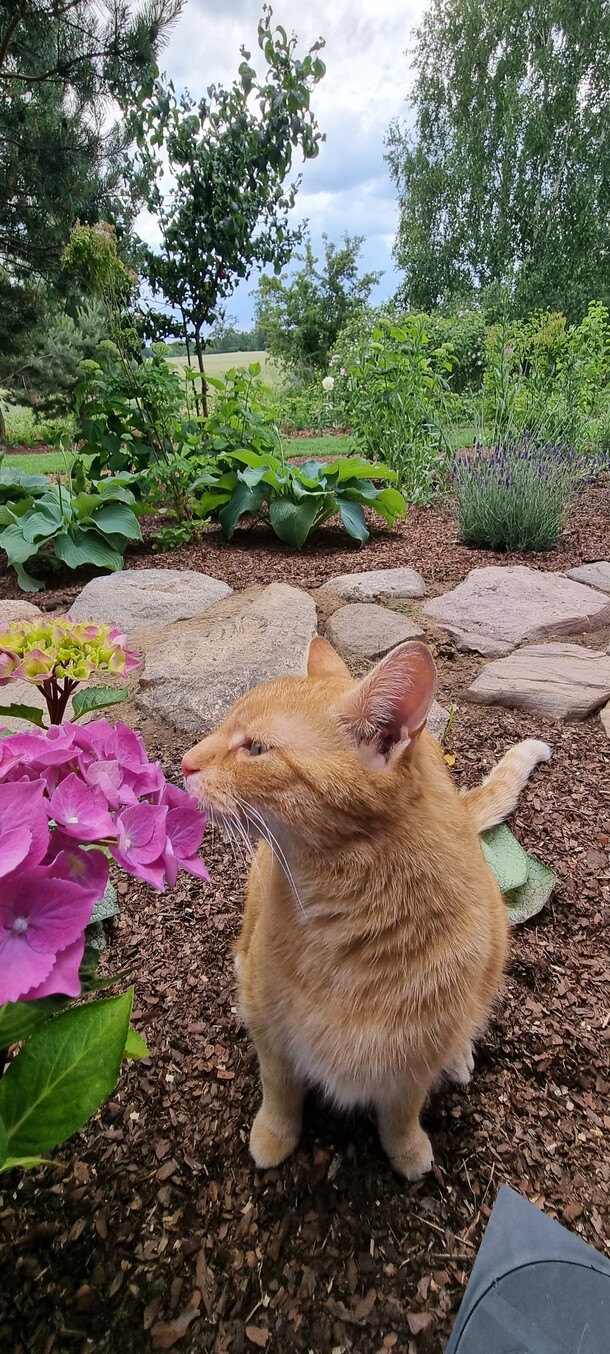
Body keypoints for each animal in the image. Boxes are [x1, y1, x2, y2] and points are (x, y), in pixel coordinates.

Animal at [181, 637, 551, 1180]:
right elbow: (280, 1091)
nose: (185, 763)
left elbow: (401, 1111)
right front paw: (273, 1137)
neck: (352, 923)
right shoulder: (271, 1031)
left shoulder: (414, 1061)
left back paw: (459, 1054)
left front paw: (407, 1150)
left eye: (256, 749)